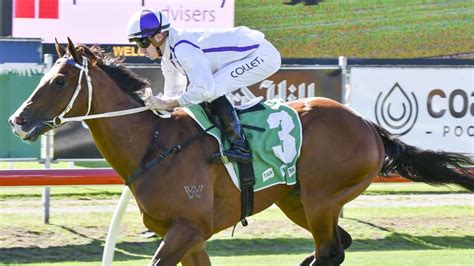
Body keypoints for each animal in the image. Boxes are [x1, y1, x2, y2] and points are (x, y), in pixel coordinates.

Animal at [7, 38, 474, 264]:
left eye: (60, 81)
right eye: (45, 76)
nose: (18, 120)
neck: (154, 144)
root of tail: (368, 125)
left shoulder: (187, 229)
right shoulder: (188, 235)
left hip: (322, 198)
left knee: (330, 251)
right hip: (297, 201)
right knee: (337, 246)